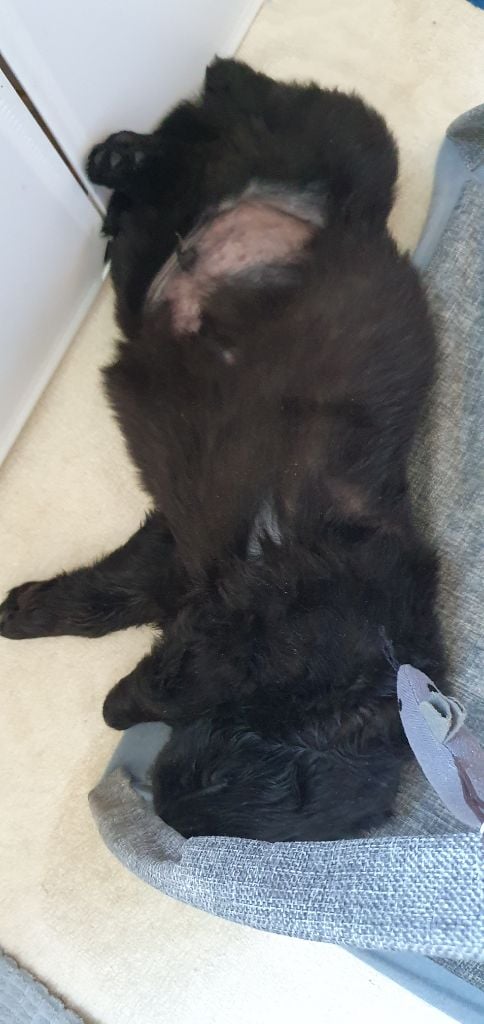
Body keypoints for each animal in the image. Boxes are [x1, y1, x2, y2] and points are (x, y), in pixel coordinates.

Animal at [0, 59, 445, 841]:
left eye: (216, 790)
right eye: (242, 756)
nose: (162, 802)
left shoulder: (185, 566)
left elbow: (109, 596)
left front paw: (23, 616)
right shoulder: (242, 621)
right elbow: (162, 669)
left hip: (162, 238)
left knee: (191, 149)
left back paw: (119, 171)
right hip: (354, 150)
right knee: (243, 103)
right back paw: (121, 151)